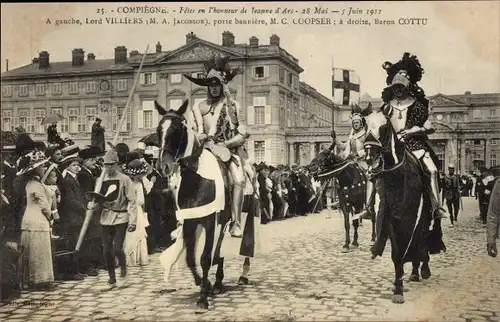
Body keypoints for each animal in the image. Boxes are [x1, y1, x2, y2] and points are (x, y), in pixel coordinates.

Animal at [155, 100, 258, 312]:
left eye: (177, 129)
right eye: (158, 130)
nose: (163, 167)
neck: (197, 179)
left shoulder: (210, 221)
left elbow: (204, 258)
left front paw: (203, 298)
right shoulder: (190, 222)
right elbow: (190, 259)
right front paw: (206, 284)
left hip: (245, 213)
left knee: (239, 243)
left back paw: (240, 275)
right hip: (222, 221)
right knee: (219, 249)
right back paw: (217, 282)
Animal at [362, 111, 448, 304]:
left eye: (383, 126)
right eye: (365, 125)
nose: (370, 157)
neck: (397, 176)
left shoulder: (412, 215)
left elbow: (409, 244)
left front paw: (401, 287)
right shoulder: (390, 219)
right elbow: (396, 253)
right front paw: (398, 286)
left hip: (426, 214)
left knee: (422, 237)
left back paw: (422, 269)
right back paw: (415, 271)